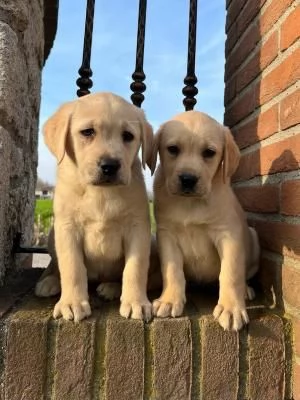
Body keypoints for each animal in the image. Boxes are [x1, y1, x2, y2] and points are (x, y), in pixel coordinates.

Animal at [34, 93, 154, 322]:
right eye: (87, 132)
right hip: (53, 235)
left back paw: (111, 287)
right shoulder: (67, 228)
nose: (110, 166)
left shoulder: (138, 228)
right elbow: (72, 267)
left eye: (128, 136)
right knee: (55, 264)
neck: (101, 193)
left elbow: (135, 268)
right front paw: (72, 303)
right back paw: (50, 281)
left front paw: (136, 302)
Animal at [151, 110, 258, 332]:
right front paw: (169, 300)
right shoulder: (166, 235)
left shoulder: (229, 235)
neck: (191, 203)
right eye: (173, 149)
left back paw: (245, 290)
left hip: (253, 236)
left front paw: (231, 308)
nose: (188, 179)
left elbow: (230, 272)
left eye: (209, 152)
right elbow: (172, 269)